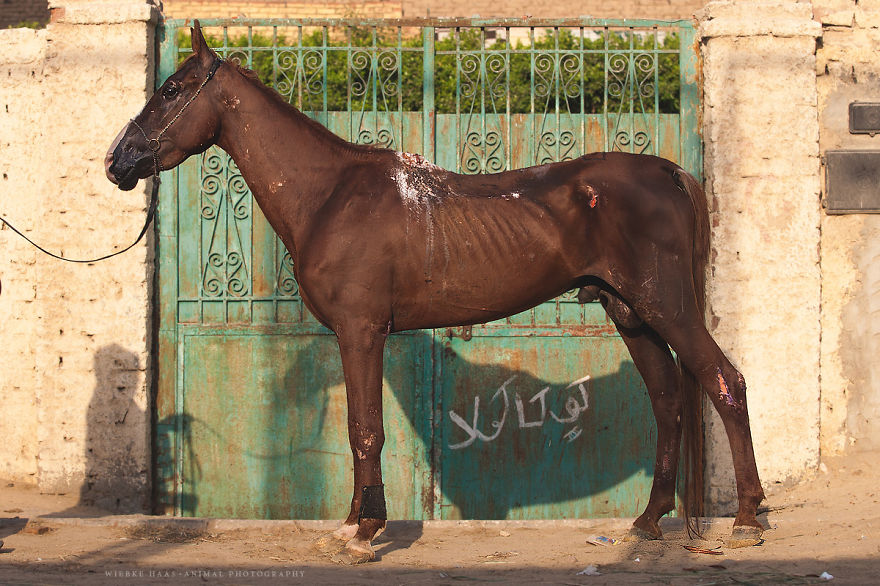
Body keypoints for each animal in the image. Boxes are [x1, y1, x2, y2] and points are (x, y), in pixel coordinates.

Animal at [105, 21, 765, 563]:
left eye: (172, 90)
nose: (119, 161)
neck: (331, 195)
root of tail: (670, 173)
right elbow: (360, 427)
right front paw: (351, 525)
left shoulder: (362, 331)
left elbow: (364, 428)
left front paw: (363, 532)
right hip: (632, 315)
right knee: (669, 403)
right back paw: (648, 522)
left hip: (667, 309)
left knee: (726, 383)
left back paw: (748, 520)